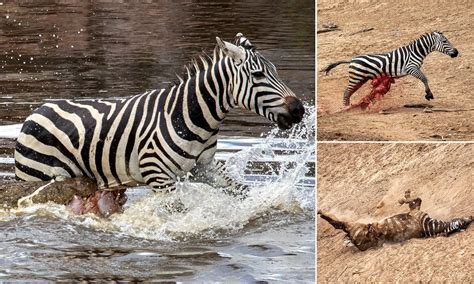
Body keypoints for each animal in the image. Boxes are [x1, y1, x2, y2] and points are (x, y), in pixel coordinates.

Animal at [14, 32, 306, 197]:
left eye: (275, 71)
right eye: (258, 75)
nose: (299, 110)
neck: (193, 118)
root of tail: (37, 110)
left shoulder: (205, 166)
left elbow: (241, 190)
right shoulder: (156, 173)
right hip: (35, 175)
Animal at [318, 191, 470, 251]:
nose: (470, 217)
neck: (429, 227)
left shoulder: (414, 210)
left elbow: (416, 199)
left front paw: (404, 198)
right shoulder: (415, 211)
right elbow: (417, 199)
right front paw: (405, 197)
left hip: (354, 227)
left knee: (337, 224)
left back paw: (321, 212)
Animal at [322, 31, 460, 106]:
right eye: (445, 41)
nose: (456, 53)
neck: (416, 52)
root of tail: (351, 60)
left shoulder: (414, 68)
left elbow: (424, 79)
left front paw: (428, 94)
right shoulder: (411, 67)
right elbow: (424, 79)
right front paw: (429, 94)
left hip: (360, 79)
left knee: (349, 92)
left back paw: (349, 106)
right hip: (356, 78)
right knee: (346, 92)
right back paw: (345, 108)